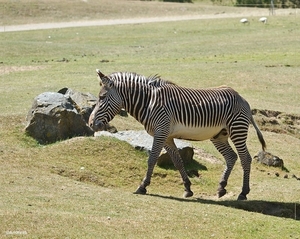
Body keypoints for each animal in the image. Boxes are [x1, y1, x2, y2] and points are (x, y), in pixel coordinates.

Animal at [88, 70, 264, 201]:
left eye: (102, 97)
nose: (90, 124)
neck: (149, 102)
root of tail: (242, 99)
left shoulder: (160, 132)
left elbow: (152, 159)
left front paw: (142, 186)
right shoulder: (166, 136)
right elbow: (178, 161)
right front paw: (187, 188)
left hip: (237, 129)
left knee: (245, 158)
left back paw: (243, 193)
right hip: (219, 135)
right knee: (231, 157)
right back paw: (221, 187)